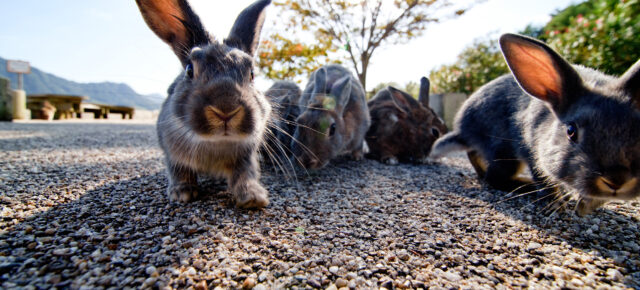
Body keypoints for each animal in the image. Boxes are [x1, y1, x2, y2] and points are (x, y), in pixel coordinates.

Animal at [136, 0, 272, 208]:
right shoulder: (173, 155)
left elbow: (245, 174)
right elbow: (179, 171)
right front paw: (181, 193)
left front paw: (253, 198)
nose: (226, 110)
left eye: (252, 74)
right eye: (190, 70)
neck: (216, 141)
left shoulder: (246, 158)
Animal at [428, 33, 640, 215]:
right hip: (505, 153)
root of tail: (463, 130)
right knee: (494, 179)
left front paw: (584, 205)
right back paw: (525, 184)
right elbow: (543, 179)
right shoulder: (532, 151)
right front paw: (556, 204)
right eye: (571, 131)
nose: (616, 180)